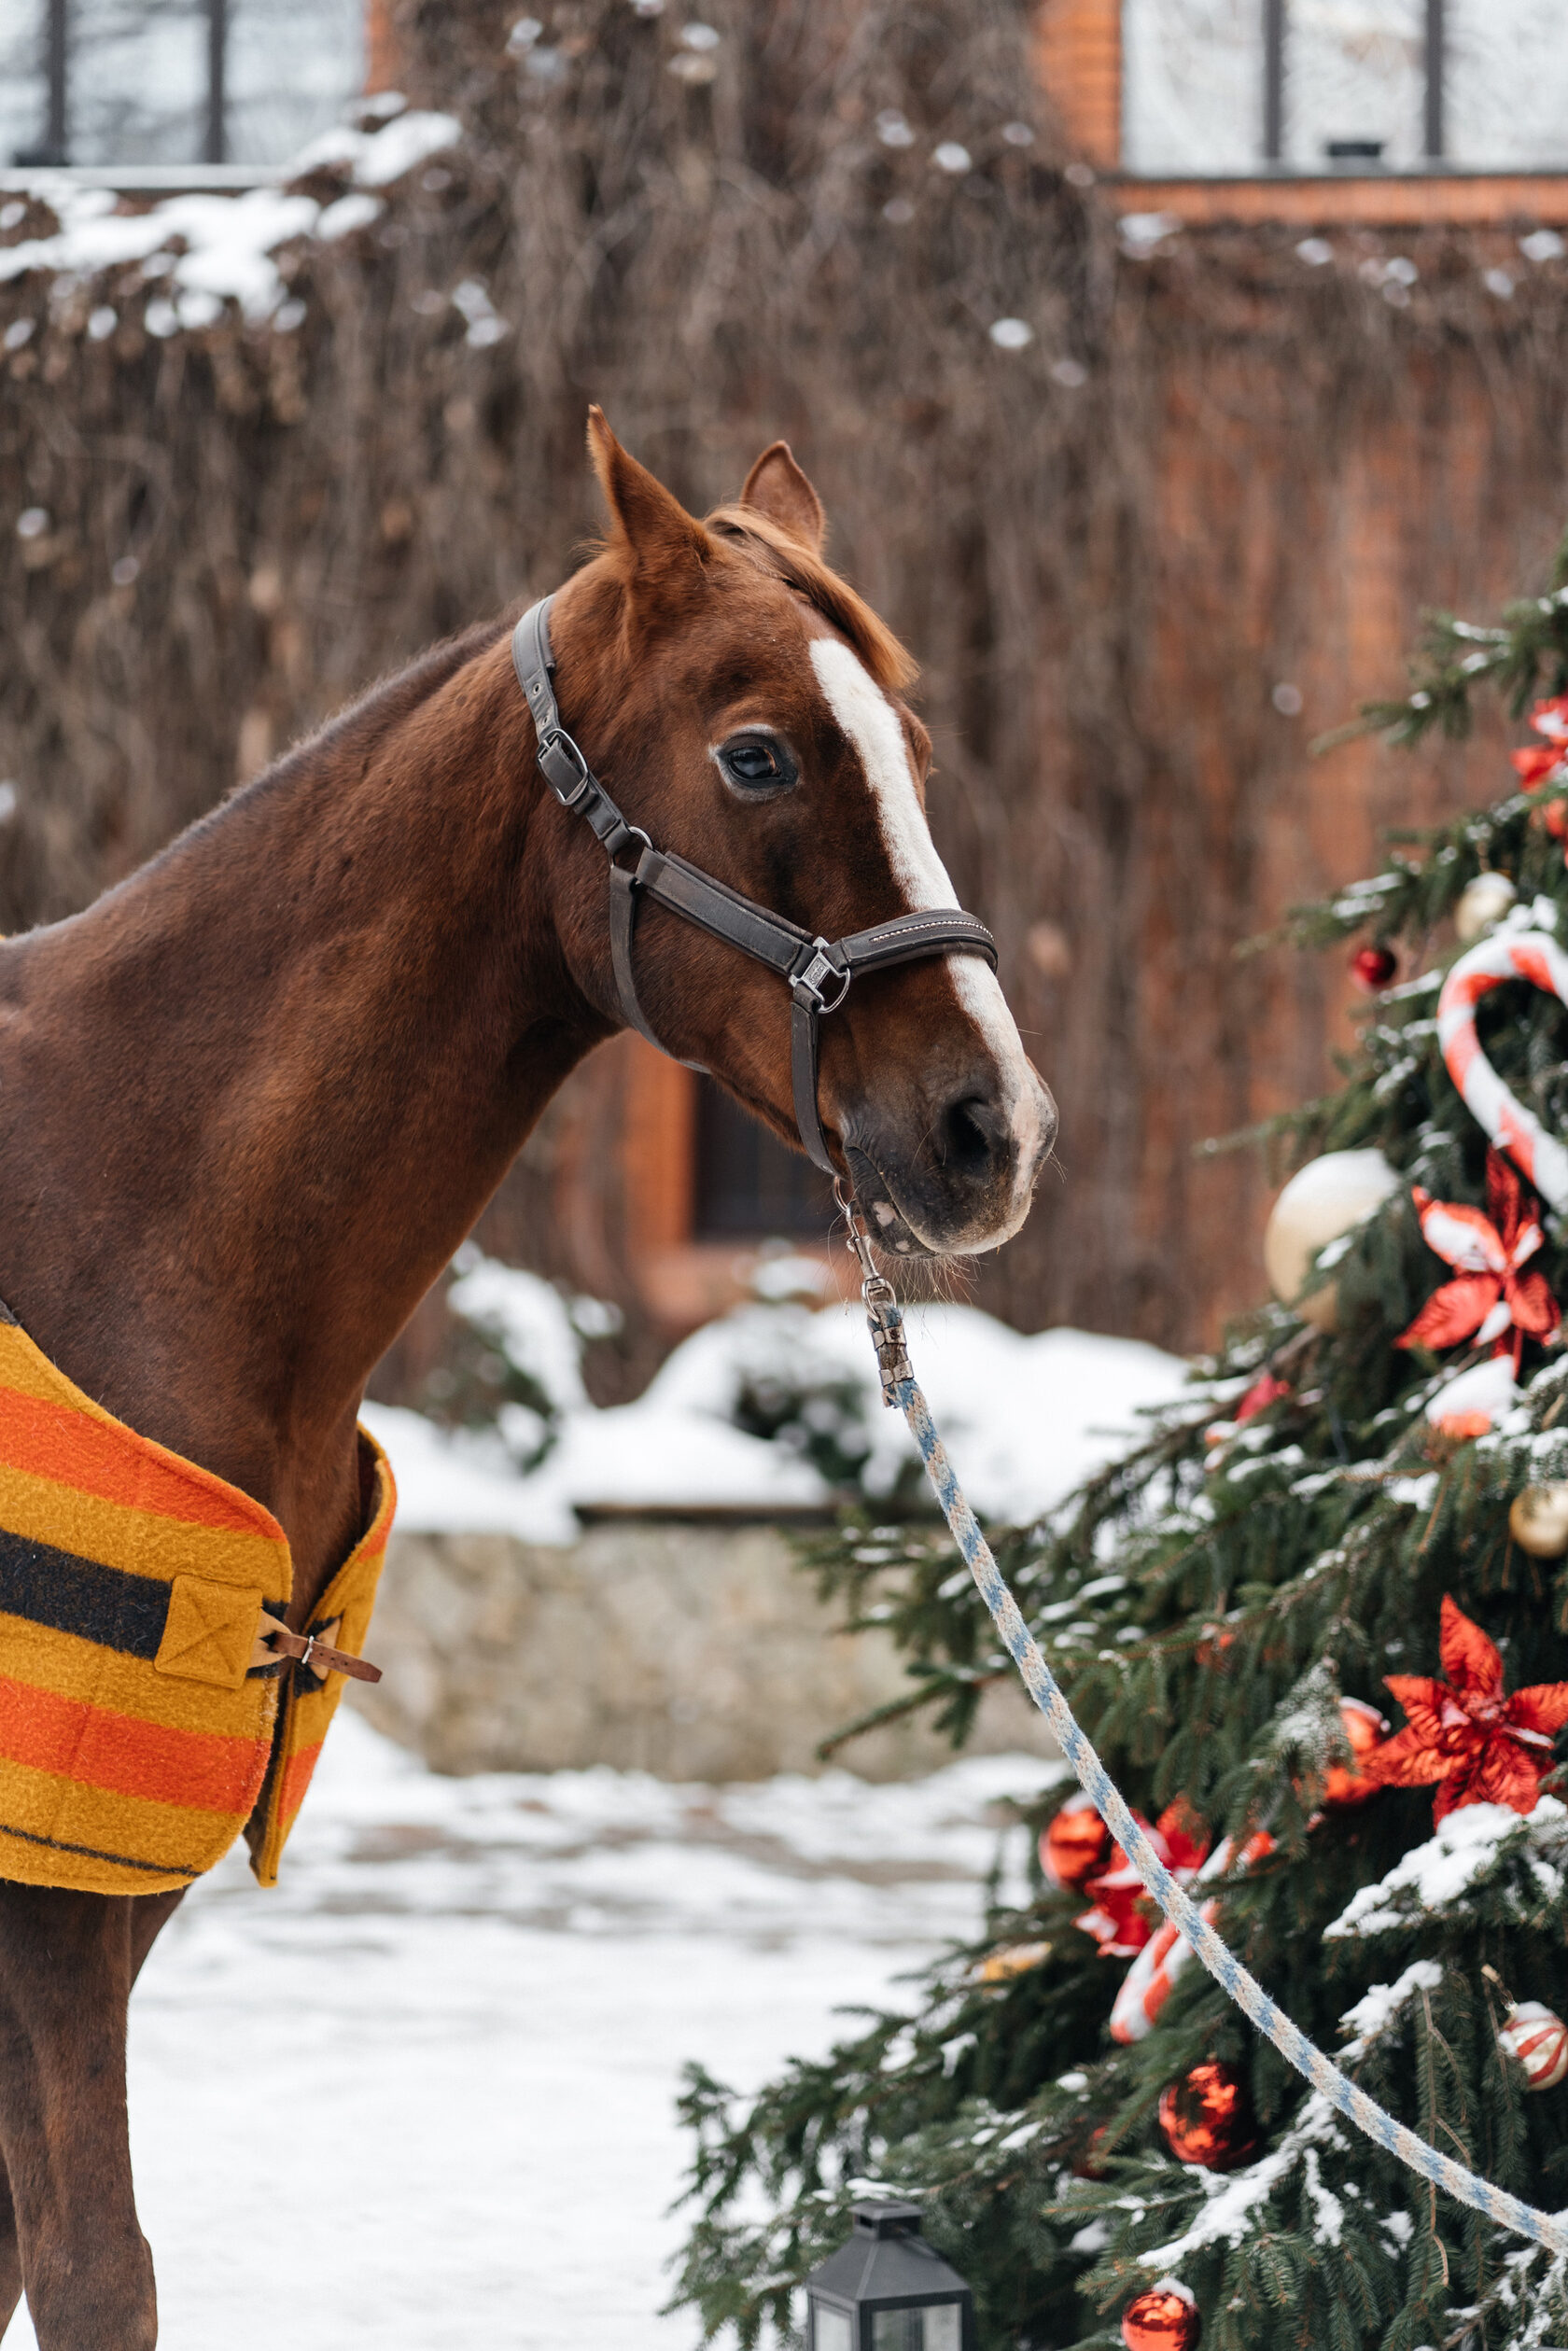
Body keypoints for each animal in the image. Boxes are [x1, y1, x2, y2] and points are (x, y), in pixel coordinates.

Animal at [0, 413, 1062, 2341]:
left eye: (918, 749)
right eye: (756, 750)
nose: (989, 1129)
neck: (126, 1209)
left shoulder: (113, 1881)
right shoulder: (46, 1890)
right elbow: (95, 2269)